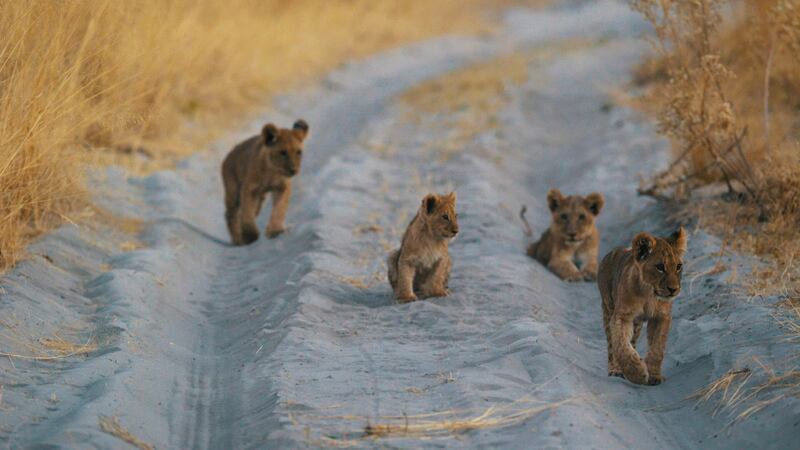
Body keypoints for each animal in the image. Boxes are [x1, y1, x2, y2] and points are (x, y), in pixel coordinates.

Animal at [597, 227, 687, 386]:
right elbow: (621, 344)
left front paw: (654, 375)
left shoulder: (661, 317)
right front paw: (636, 373)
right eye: (660, 267)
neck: (648, 295)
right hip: (608, 309)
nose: (673, 289)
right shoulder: (622, 316)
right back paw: (616, 370)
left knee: (632, 341)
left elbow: (657, 347)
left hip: (637, 324)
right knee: (612, 346)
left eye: (678, 266)